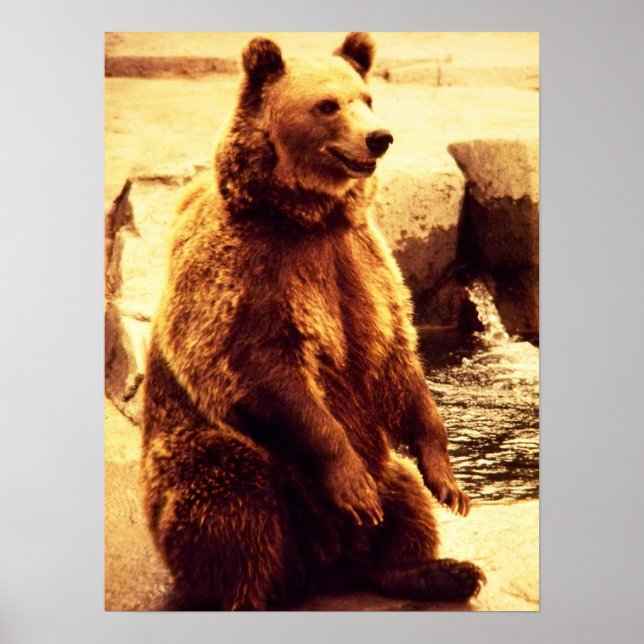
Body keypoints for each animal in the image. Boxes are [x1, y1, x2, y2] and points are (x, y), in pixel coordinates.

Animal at [141, 32, 485, 610]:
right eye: (327, 105)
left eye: (366, 98)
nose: (379, 138)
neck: (308, 216)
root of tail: (318, 566)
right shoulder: (247, 275)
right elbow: (265, 370)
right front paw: (353, 487)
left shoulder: (361, 262)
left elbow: (398, 358)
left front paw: (448, 482)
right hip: (219, 456)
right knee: (234, 507)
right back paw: (241, 594)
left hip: (379, 461)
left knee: (402, 500)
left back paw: (442, 570)